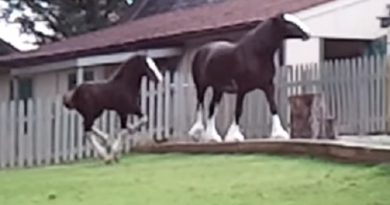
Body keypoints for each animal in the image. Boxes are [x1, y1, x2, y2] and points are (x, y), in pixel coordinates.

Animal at [188, 12, 310, 143]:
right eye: (289, 23)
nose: (308, 33)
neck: (256, 53)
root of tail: (202, 50)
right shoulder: (242, 88)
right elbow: (238, 110)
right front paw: (235, 136)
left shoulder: (268, 86)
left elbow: (273, 106)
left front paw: (279, 134)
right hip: (201, 86)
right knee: (200, 105)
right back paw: (197, 133)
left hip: (218, 89)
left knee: (212, 108)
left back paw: (213, 137)